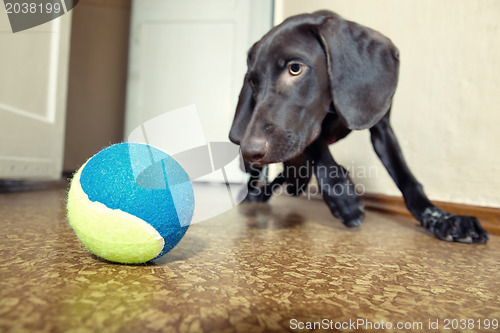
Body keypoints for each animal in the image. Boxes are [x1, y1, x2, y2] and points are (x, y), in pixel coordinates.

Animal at [229, 10, 488, 244]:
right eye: (253, 82)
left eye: (295, 68)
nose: (249, 150)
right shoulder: (307, 131)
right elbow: (317, 143)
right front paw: (342, 195)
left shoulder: (382, 129)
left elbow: (407, 179)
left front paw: (441, 218)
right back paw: (255, 194)